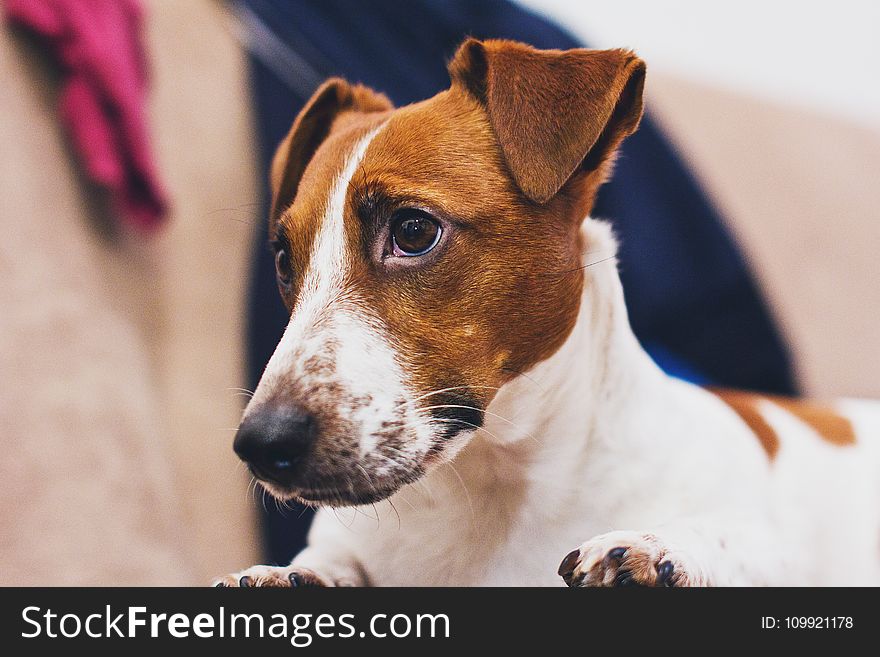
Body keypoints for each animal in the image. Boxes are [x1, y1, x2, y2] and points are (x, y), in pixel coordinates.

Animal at [213, 38, 880, 588]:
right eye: (284, 260)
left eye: (413, 231)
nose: (260, 445)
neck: (492, 491)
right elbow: (326, 558)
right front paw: (290, 575)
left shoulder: (776, 543)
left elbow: (735, 540)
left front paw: (660, 547)